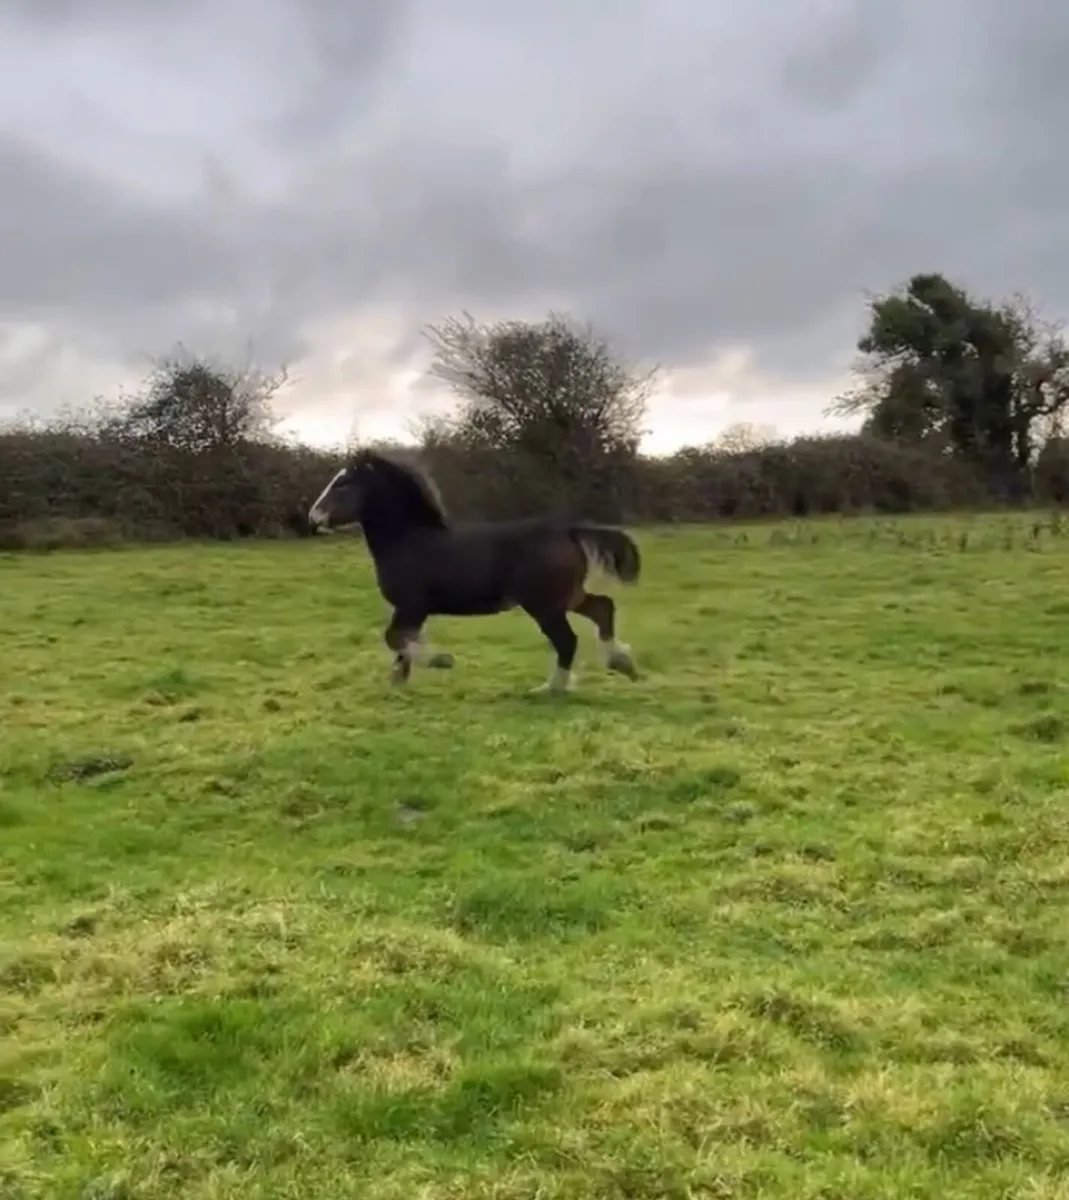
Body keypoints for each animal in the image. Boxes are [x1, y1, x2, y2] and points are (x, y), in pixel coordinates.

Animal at [307, 449, 642, 693]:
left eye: (342, 483)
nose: (313, 517)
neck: (409, 540)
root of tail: (568, 531)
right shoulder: (413, 610)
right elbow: (403, 643)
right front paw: (398, 681)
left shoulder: (412, 605)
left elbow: (395, 638)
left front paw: (442, 660)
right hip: (567, 596)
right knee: (602, 607)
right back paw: (621, 662)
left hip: (544, 605)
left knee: (567, 639)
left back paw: (551, 688)